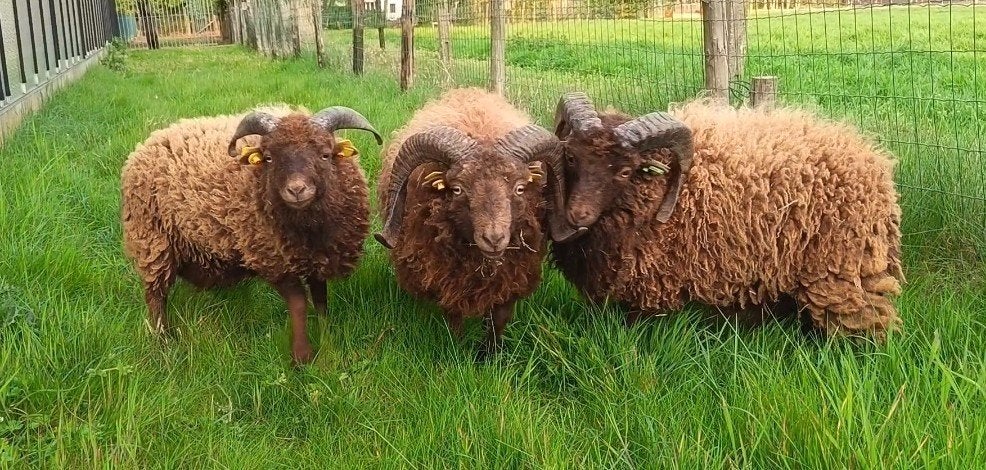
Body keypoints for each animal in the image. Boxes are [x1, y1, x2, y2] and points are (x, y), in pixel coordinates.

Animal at [121, 104, 383, 364]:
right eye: (269, 157)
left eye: (325, 154)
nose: (296, 190)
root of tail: (147, 144)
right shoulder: (271, 259)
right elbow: (298, 303)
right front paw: (302, 356)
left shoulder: (319, 257)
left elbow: (320, 301)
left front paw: (327, 342)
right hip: (152, 241)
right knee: (156, 295)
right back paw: (163, 339)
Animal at [374, 88, 582, 358]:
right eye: (457, 189)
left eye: (520, 188)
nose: (494, 238)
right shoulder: (447, 279)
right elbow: (454, 319)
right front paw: (457, 350)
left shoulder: (511, 279)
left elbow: (498, 321)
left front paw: (490, 355)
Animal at [551, 93, 903, 340]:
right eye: (571, 157)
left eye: (624, 171)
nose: (577, 215)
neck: (656, 190)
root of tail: (873, 160)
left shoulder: (654, 282)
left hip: (840, 270)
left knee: (865, 320)